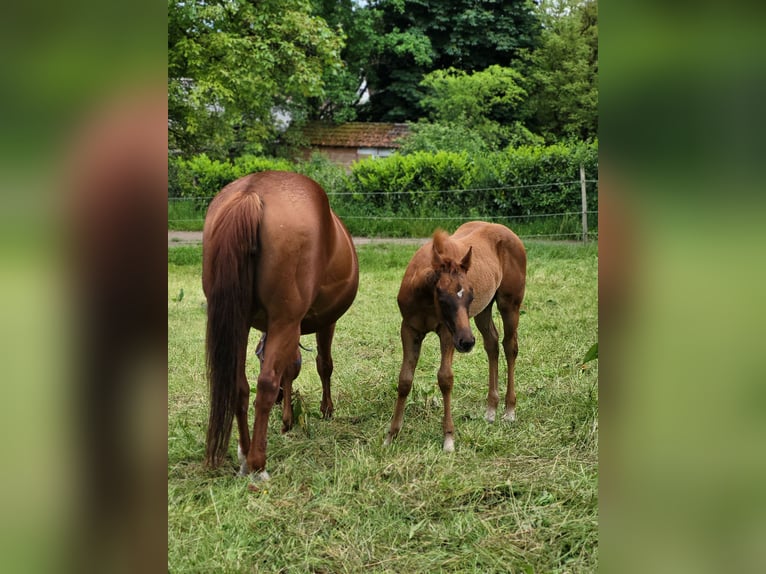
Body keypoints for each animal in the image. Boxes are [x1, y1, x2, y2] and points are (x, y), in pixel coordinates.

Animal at [202, 171, 359, 479]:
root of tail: (251, 193)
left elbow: (288, 369)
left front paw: (288, 420)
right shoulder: (323, 322)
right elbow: (324, 364)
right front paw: (326, 409)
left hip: (239, 323)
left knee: (240, 386)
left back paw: (244, 453)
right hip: (285, 321)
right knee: (265, 385)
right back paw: (257, 463)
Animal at [384, 222, 526, 452]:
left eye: (471, 295)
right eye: (442, 297)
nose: (467, 342)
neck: (425, 299)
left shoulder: (447, 332)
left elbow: (445, 378)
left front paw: (448, 438)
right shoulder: (409, 329)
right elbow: (405, 379)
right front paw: (391, 435)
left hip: (509, 305)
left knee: (510, 346)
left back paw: (509, 410)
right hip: (484, 310)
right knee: (492, 343)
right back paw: (491, 410)